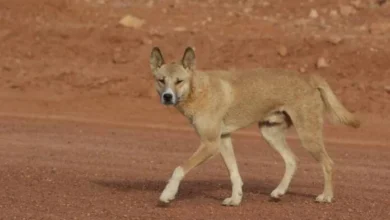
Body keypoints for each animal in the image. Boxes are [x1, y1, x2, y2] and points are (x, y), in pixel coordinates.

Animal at [149, 46, 360, 206]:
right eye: (161, 81)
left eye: (179, 81)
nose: (167, 96)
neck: (197, 90)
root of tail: (309, 78)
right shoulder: (223, 140)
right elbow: (234, 173)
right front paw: (235, 199)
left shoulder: (210, 144)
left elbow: (179, 169)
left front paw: (167, 194)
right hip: (270, 132)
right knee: (292, 160)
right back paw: (279, 191)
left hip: (308, 136)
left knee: (328, 164)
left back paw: (326, 196)